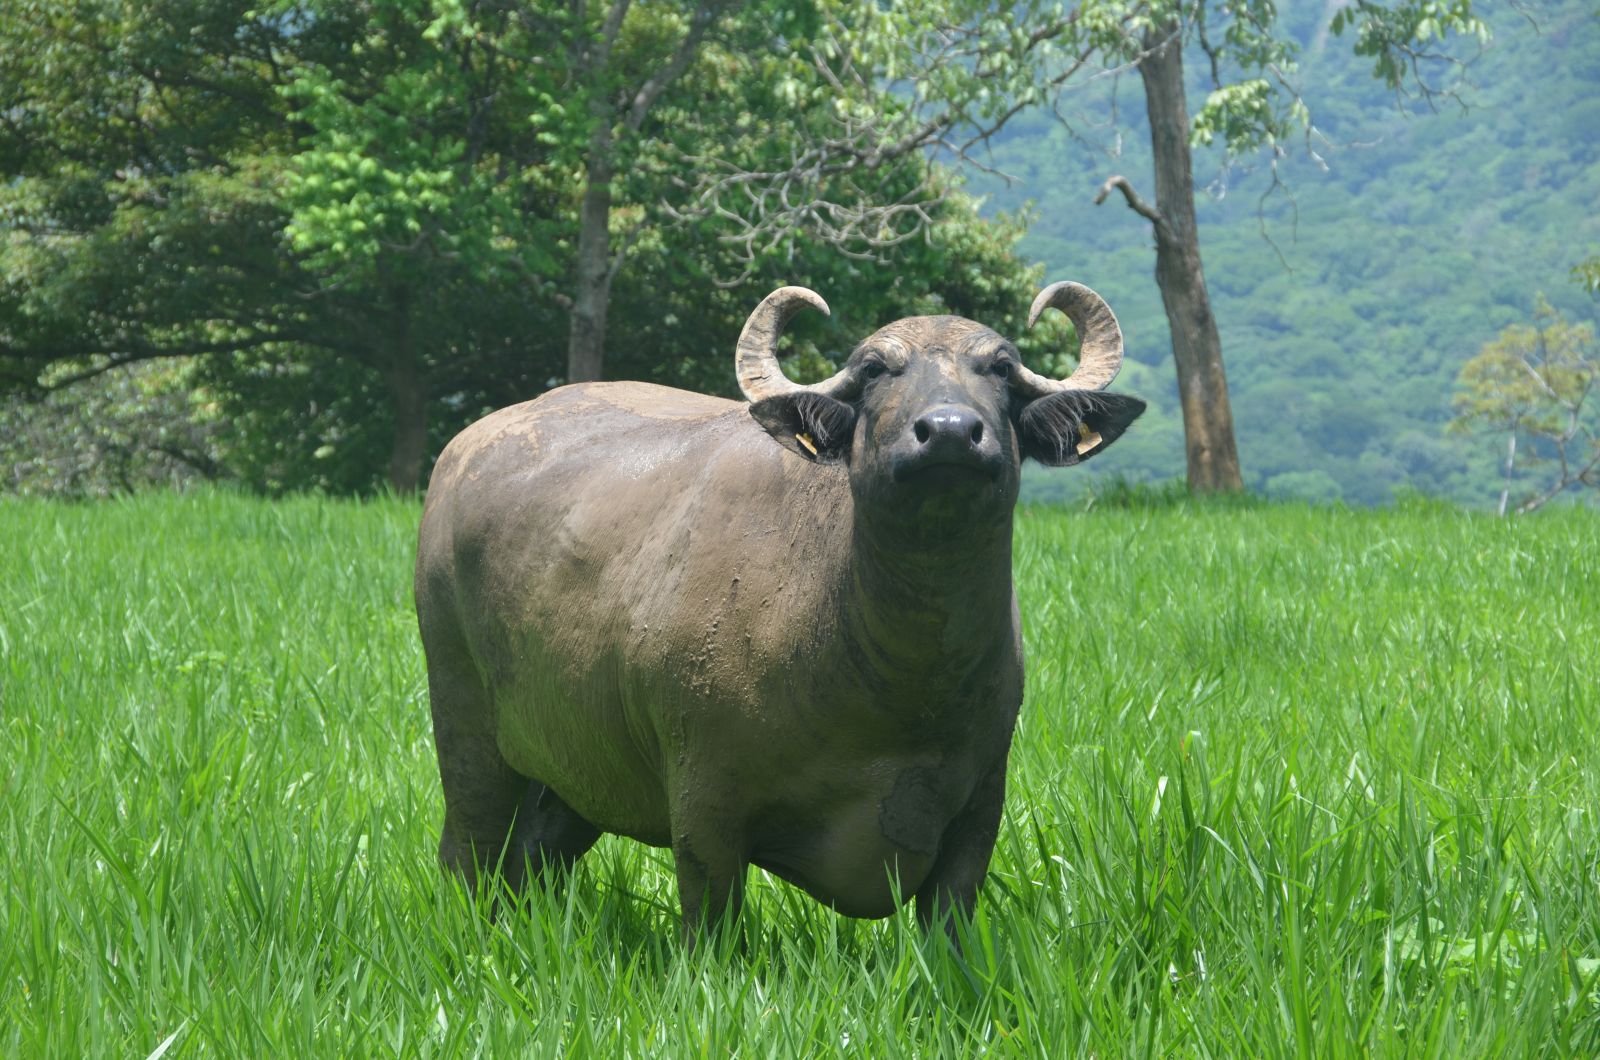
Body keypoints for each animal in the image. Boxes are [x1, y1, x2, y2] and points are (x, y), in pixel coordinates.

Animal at [412, 281, 1139, 941]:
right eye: (875, 370)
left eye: (1001, 368)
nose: (950, 433)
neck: (894, 686)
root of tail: (457, 459)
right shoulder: (704, 807)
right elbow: (712, 926)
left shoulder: (977, 814)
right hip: (465, 723)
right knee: (469, 850)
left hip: (571, 773)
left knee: (534, 858)